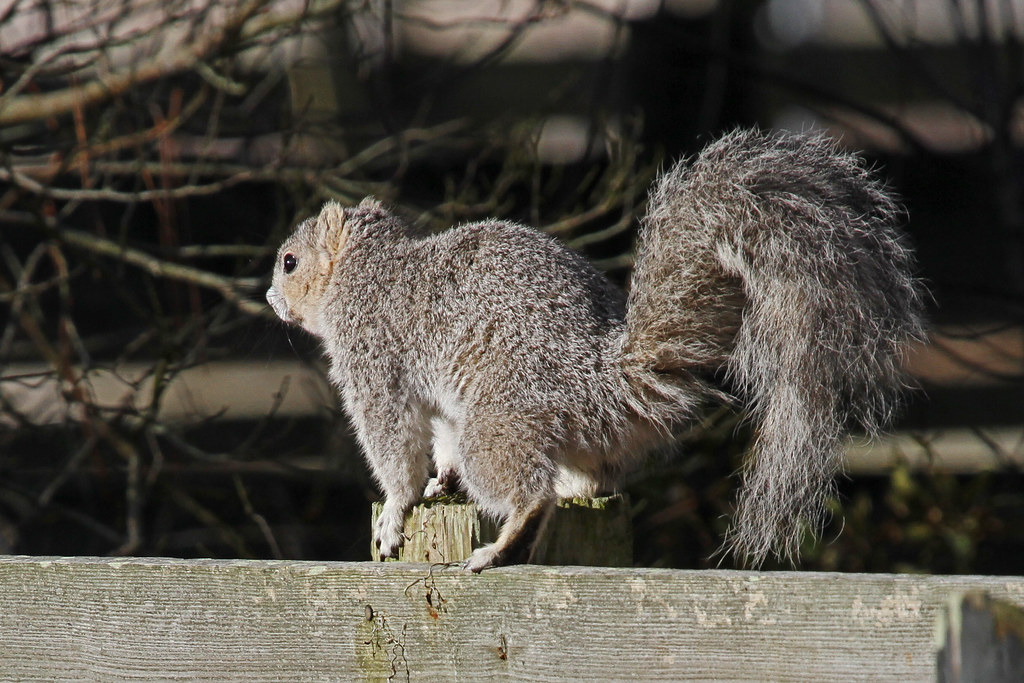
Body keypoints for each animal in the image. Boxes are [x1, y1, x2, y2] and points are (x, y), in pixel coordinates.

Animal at [266, 128, 926, 572]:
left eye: (290, 261)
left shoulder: (374, 359)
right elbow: (440, 442)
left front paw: (395, 513)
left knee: (527, 492)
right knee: (585, 481)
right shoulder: (441, 402)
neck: (366, 273)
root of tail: (607, 375)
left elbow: (393, 444)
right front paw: (438, 485)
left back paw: (503, 544)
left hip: (501, 417)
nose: (271, 297)